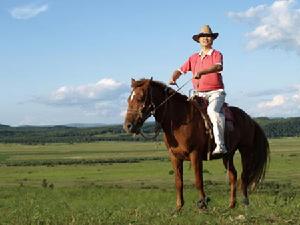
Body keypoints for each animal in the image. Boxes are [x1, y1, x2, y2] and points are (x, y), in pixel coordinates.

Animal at [123, 78, 268, 210]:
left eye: (140, 98)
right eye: (128, 100)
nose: (128, 126)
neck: (178, 120)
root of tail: (249, 119)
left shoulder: (195, 154)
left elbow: (199, 181)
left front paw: (203, 204)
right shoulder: (174, 156)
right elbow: (178, 182)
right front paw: (179, 207)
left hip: (246, 150)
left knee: (244, 176)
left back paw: (245, 202)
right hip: (228, 155)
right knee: (233, 175)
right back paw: (231, 205)